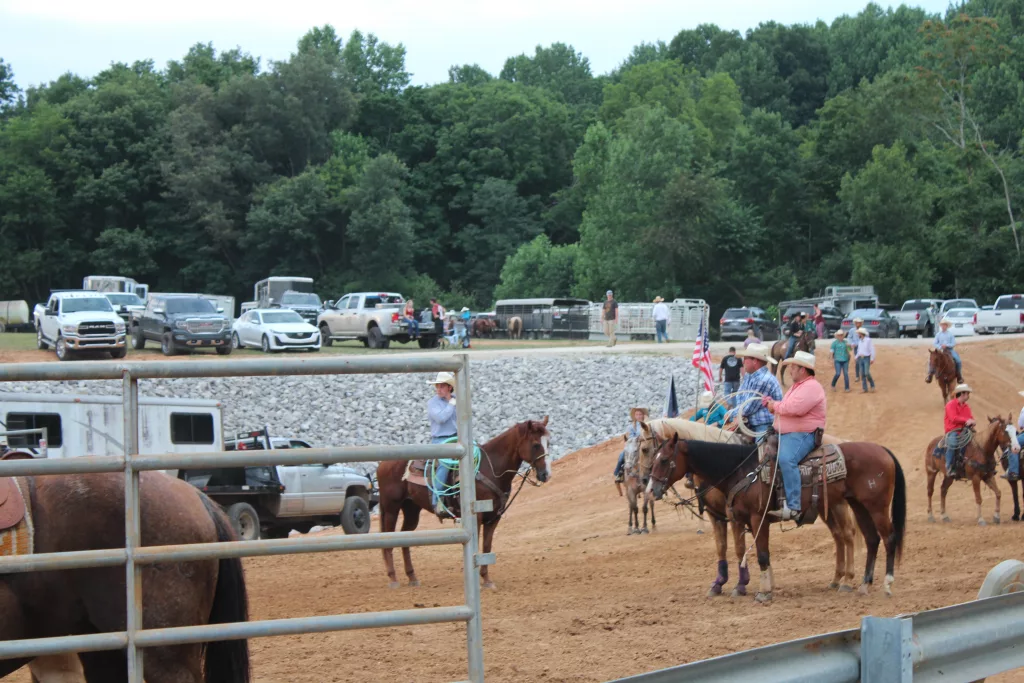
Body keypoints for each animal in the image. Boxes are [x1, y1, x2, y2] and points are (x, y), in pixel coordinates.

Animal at [378, 413, 552, 589]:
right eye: (536, 445)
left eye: (548, 443)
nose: (546, 475)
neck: (490, 468)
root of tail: (383, 463)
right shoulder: (478, 517)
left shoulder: (494, 517)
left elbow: (487, 546)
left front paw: (487, 580)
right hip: (391, 508)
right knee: (388, 539)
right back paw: (393, 579)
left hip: (411, 509)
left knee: (405, 537)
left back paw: (412, 577)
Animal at [651, 436, 909, 602]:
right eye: (653, 456)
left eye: (663, 460)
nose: (651, 488)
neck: (743, 471)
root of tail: (883, 450)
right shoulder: (736, 519)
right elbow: (740, 551)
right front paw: (738, 586)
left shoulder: (758, 518)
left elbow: (762, 554)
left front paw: (764, 592)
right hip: (858, 505)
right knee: (870, 539)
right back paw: (862, 584)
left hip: (875, 507)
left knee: (886, 538)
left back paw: (885, 584)